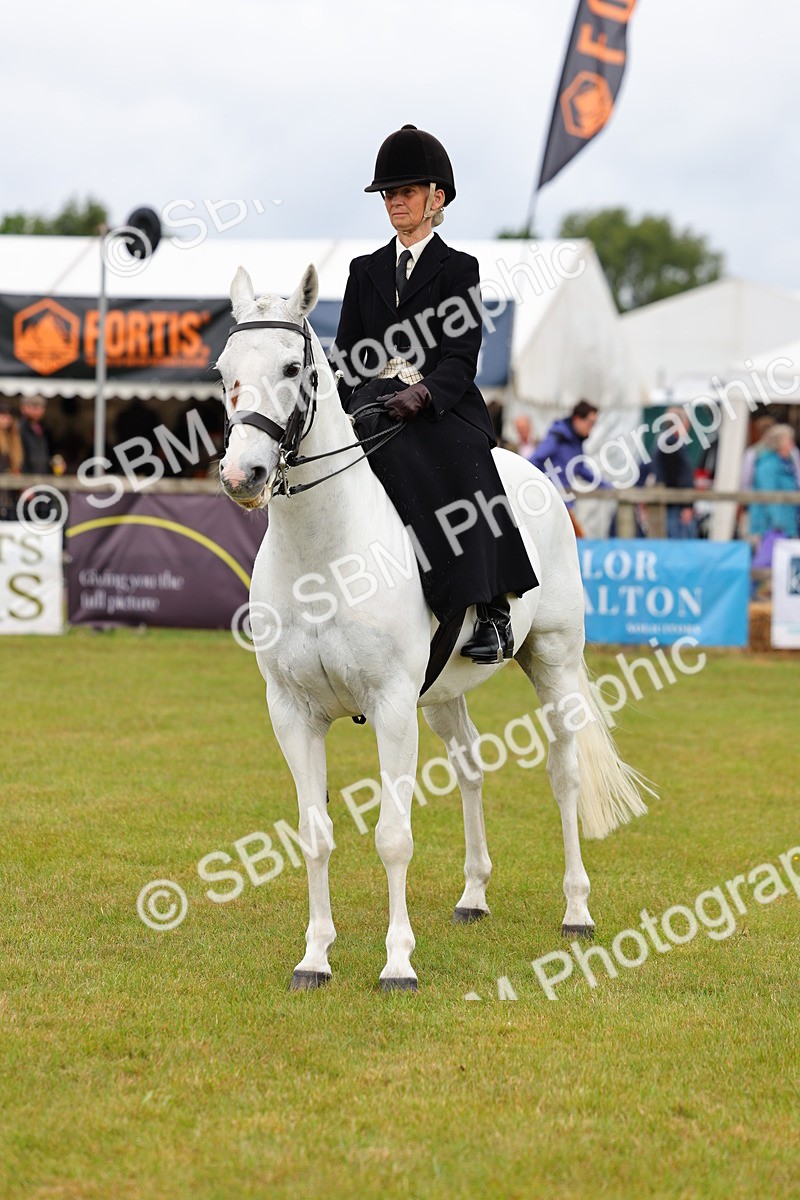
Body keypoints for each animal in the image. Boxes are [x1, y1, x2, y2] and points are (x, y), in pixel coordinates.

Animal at [216, 263, 651, 992]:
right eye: (225, 371)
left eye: (290, 367)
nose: (241, 475)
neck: (323, 553)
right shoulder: (292, 712)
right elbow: (314, 835)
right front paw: (315, 958)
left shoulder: (391, 706)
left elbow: (393, 836)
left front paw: (397, 964)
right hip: (443, 693)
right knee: (471, 767)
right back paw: (473, 896)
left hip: (554, 662)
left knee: (563, 775)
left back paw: (577, 913)